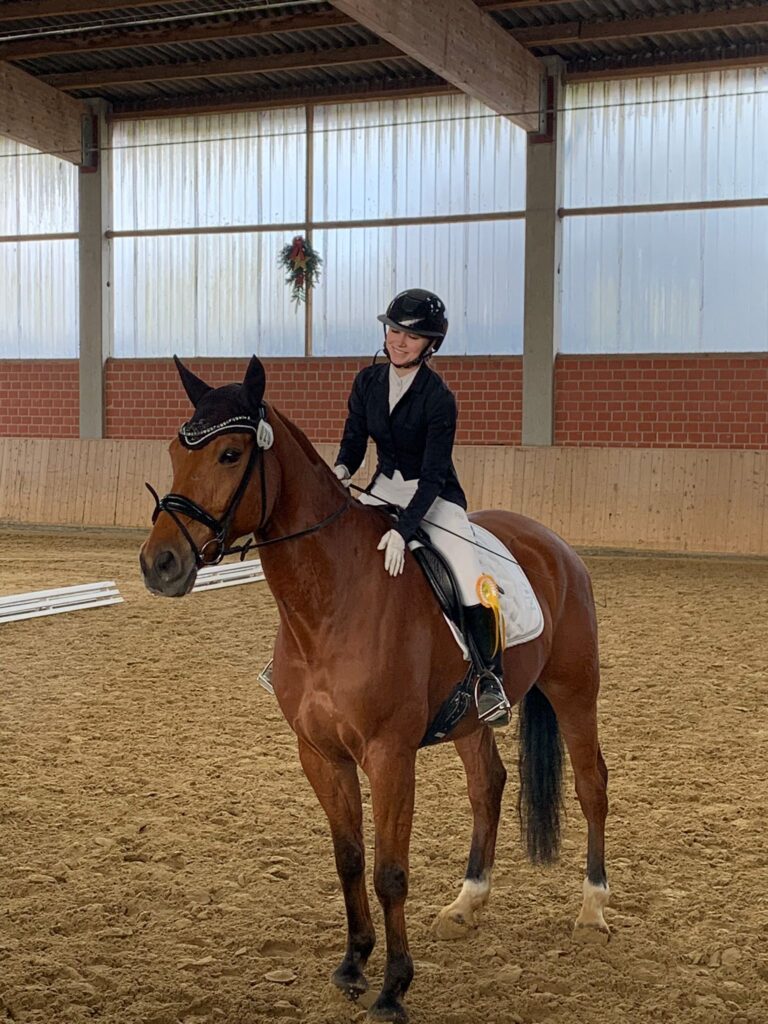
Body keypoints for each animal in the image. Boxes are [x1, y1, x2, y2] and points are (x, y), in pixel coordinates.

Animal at [139, 356, 609, 1023]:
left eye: (231, 454)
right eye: (176, 450)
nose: (160, 564)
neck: (331, 601)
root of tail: (553, 543)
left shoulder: (389, 756)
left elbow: (390, 872)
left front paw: (393, 987)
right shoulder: (320, 754)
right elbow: (350, 859)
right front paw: (354, 962)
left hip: (574, 689)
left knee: (592, 785)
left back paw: (593, 910)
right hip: (470, 716)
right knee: (487, 785)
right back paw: (467, 903)